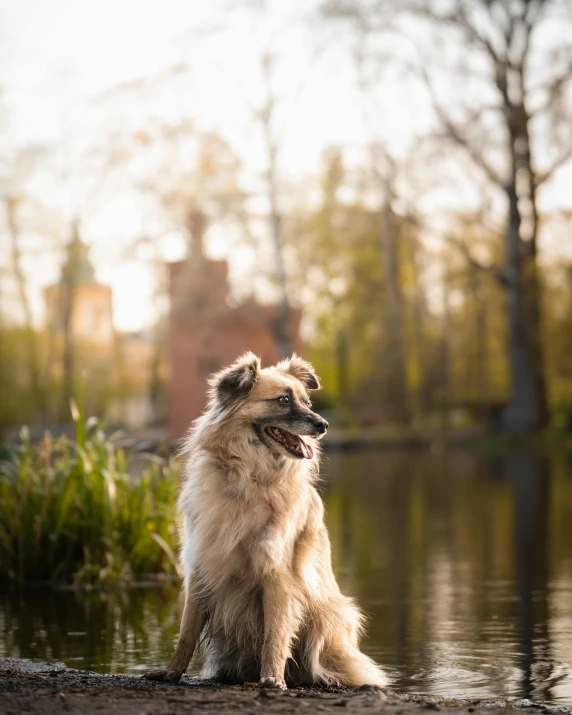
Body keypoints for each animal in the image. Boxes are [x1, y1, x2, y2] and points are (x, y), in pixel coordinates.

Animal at [145, 356, 386, 692]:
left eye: (306, 401)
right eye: (283, 400)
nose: (323, 425)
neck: (247, 477)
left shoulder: (278, 574)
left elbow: (275, 635)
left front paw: (272, 677)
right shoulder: (200, 568)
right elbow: (186, 632)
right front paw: (171, 672)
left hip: (331, 613)